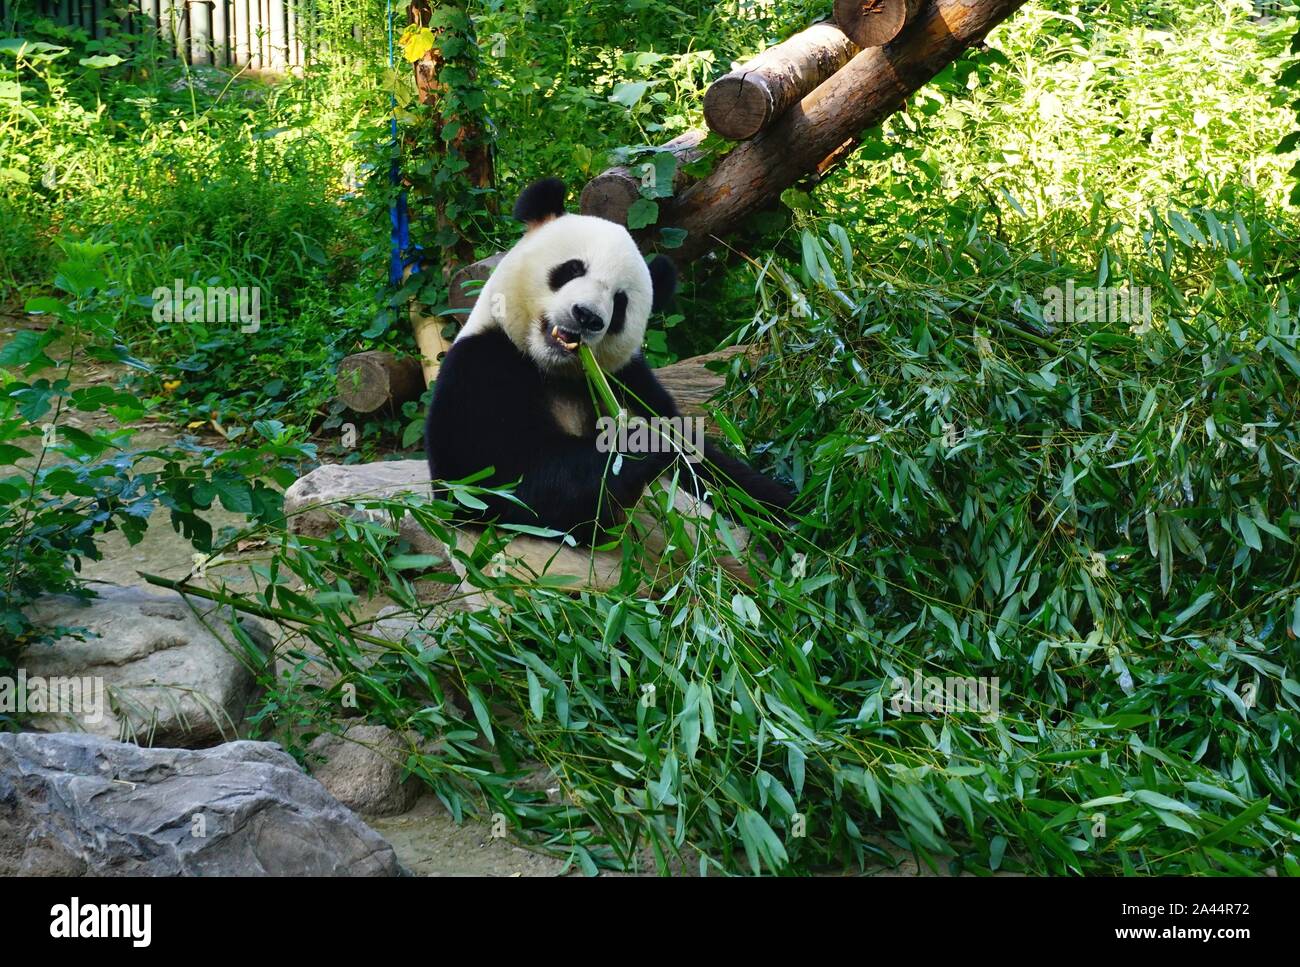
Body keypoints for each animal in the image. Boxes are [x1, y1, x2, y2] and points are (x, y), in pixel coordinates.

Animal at [426, 175, 790, 543]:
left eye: (621, 301)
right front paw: (643, 443)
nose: (587, 316)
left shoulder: (631, 381)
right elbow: (490, 482)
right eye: (572, 269)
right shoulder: (479, 366)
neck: (553, 370)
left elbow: (714, 470)